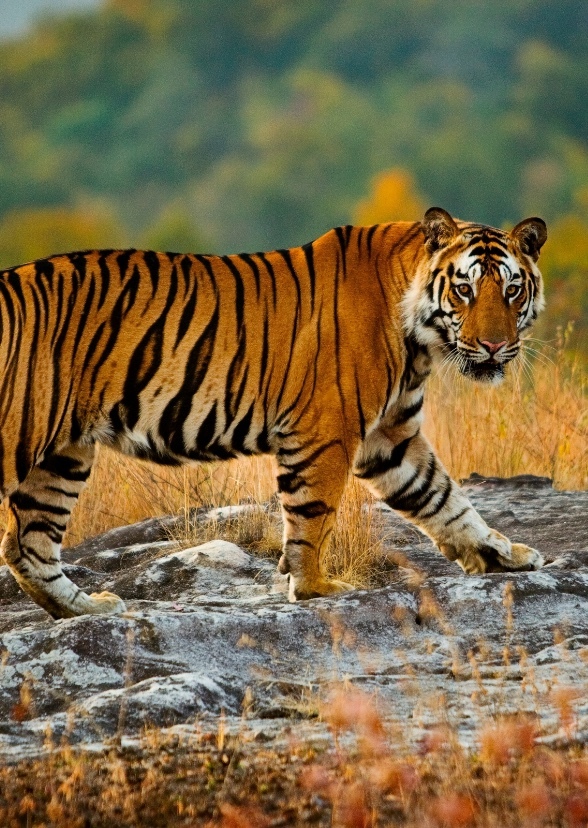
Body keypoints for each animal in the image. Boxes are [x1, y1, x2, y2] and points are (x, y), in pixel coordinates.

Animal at [0, 207, 547, 619]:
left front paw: (503, 555)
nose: (494, 345)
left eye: (512, 290)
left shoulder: (391, 439)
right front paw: (315, 588)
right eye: (464, 289)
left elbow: (446, 500)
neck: (420, 342)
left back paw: (88, 609)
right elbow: (312, 516)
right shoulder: (326, 430)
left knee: (27, 546)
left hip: (64, 455)